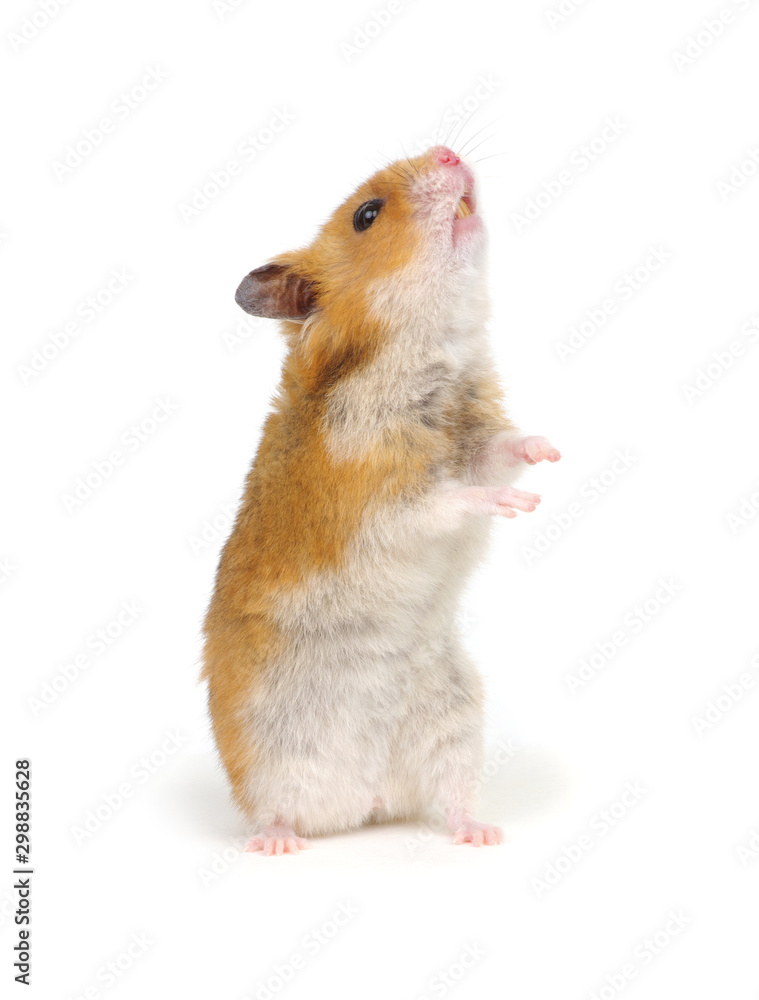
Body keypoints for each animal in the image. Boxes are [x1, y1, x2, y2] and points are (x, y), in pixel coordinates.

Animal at [202, 145, 560, 856]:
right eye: (366, 215)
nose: (450, 152)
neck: (430, 352)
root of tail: (364, 803)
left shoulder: (478, 436)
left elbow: (505, 447)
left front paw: (552, 452)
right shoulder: (381, 503)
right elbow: (451, 499)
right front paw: (514, 504)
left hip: (454, 723)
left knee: (451, 797)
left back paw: (482, 834)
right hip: (269, 755)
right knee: (274, 809)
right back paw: (279, 845)